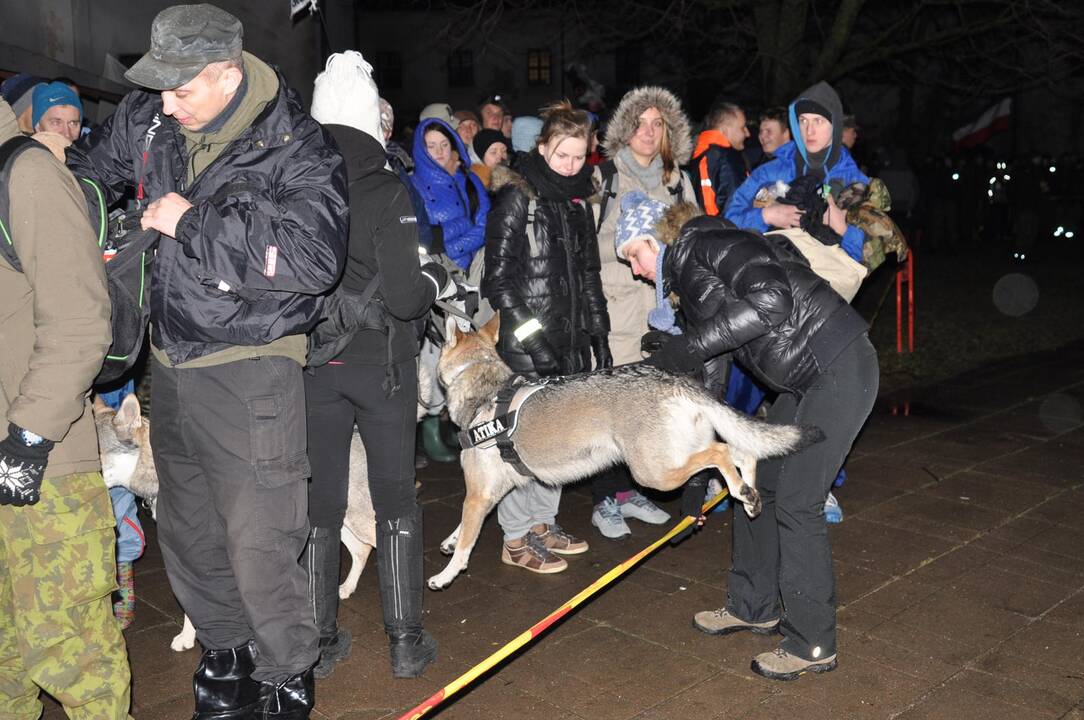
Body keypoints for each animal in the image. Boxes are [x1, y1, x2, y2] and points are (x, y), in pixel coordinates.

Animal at [427, 314, 815, 589]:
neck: (485, 392)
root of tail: (678, 380)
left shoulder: (479, 493)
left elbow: (466, 543)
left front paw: (445, 574)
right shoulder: (491, 492)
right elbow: (464, 527)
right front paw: (448, 541)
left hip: (653, 474)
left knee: (721, 453)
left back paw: (739, 490)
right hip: (676, 458)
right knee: (741, 451)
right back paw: (747, 495)